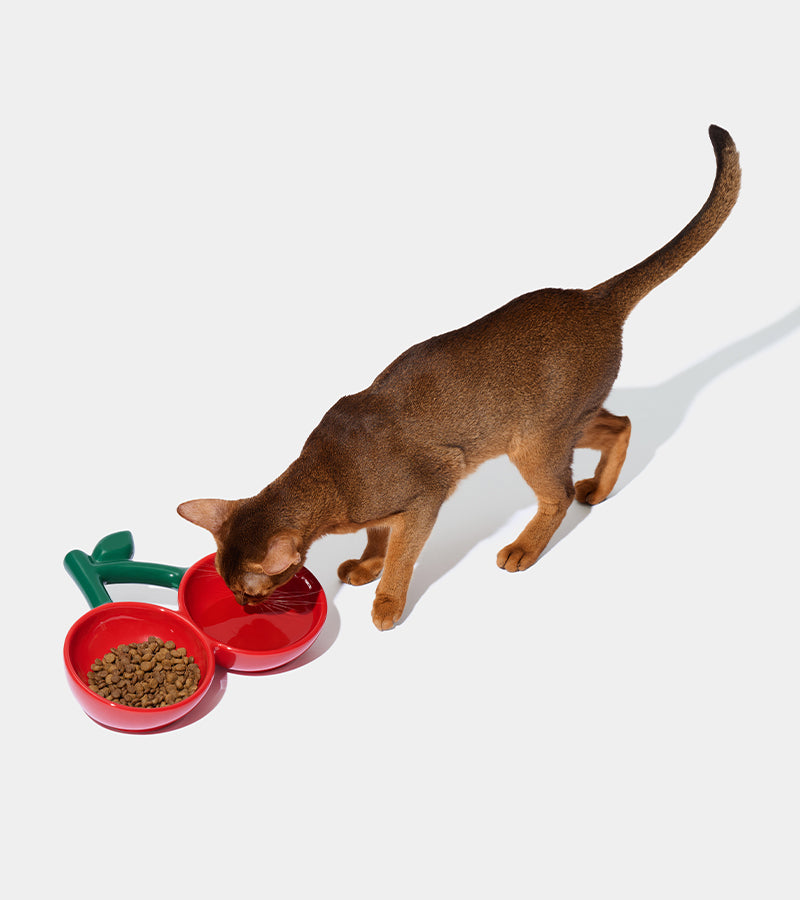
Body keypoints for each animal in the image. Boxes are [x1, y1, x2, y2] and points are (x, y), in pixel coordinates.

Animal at [179, 125, 741, 630]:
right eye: (233, 589)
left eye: (249, 590)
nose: (242, 606)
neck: (327, 476)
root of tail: (594, 298)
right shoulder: (390, 509)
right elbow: (378, 536)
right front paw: (366, 564)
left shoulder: (427, 495)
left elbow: (402, 555)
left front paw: (386, 602)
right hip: (559, 424)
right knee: (620, 423)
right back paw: (599, 490)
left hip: (534, 440)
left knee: (558, 493)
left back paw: (524, 548)